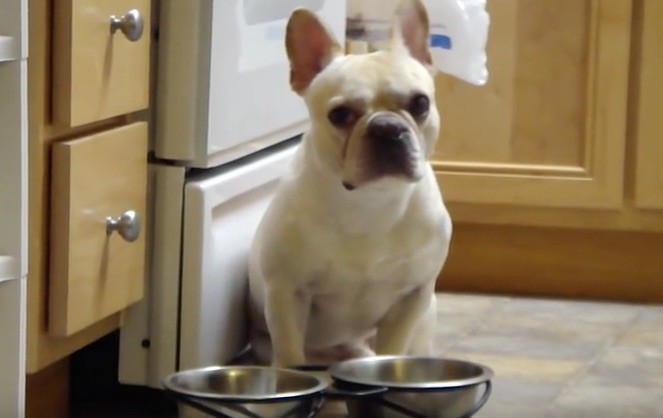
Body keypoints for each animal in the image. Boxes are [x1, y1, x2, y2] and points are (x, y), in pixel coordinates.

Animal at [248, 0, 452, 366]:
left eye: (420, 103)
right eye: (340, 114)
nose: (387, 127)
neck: (370, 203)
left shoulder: (413, 295)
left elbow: (392, 349)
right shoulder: (287, 293)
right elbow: (290, 355)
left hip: (425, 317)